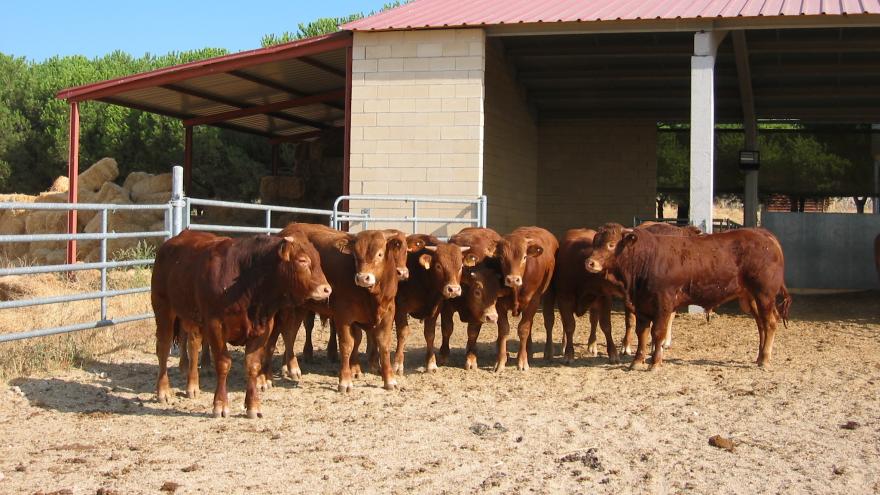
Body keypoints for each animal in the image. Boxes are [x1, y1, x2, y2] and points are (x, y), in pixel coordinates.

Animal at [151, 230, 330, 418]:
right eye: (302, 260)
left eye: (318, 259)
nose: (327, 289)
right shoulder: (215, 325)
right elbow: (223, 363)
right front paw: (220, 405)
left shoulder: (263, 328)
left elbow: (252, 365)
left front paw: (253, 406)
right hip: (163, 308)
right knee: (163, 348)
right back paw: (163, 391)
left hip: (192, 318)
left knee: (193, 346)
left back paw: (192, 386)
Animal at [584, 227, 792, 370]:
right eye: (594, 243)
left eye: (611, 244)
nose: (590, 263)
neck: (645, 259)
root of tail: (764, 234)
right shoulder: (641, 304)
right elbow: (641, 333)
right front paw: (637, 361)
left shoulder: (664, 303)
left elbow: (657, 333)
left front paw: (655, 363)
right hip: (750, 298)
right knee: (761, 324)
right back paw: (760, 356)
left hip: (764, 294)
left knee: (770, 323)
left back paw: (765, 359)